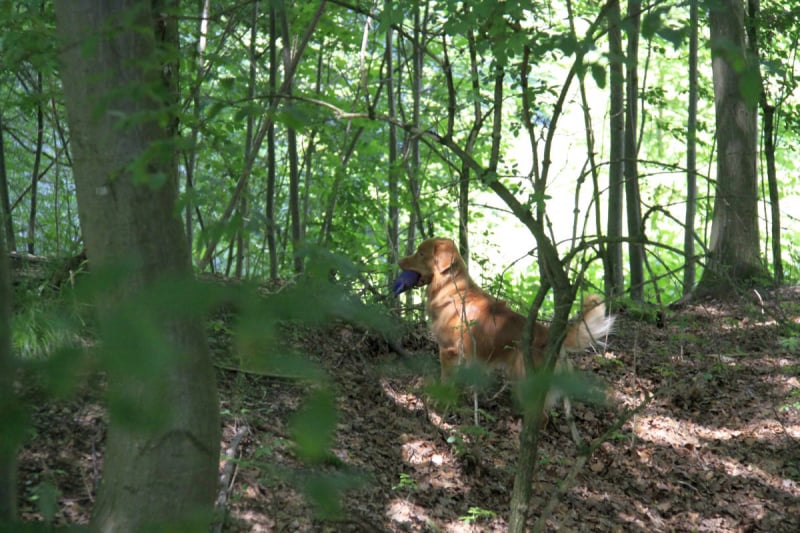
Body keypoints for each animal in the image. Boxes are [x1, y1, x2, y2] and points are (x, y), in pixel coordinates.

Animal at [398, 237, 614, 387]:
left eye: (420, 254)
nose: (399, 261)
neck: (450, 288)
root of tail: (548, 333)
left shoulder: (449, 350)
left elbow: (446, 380)